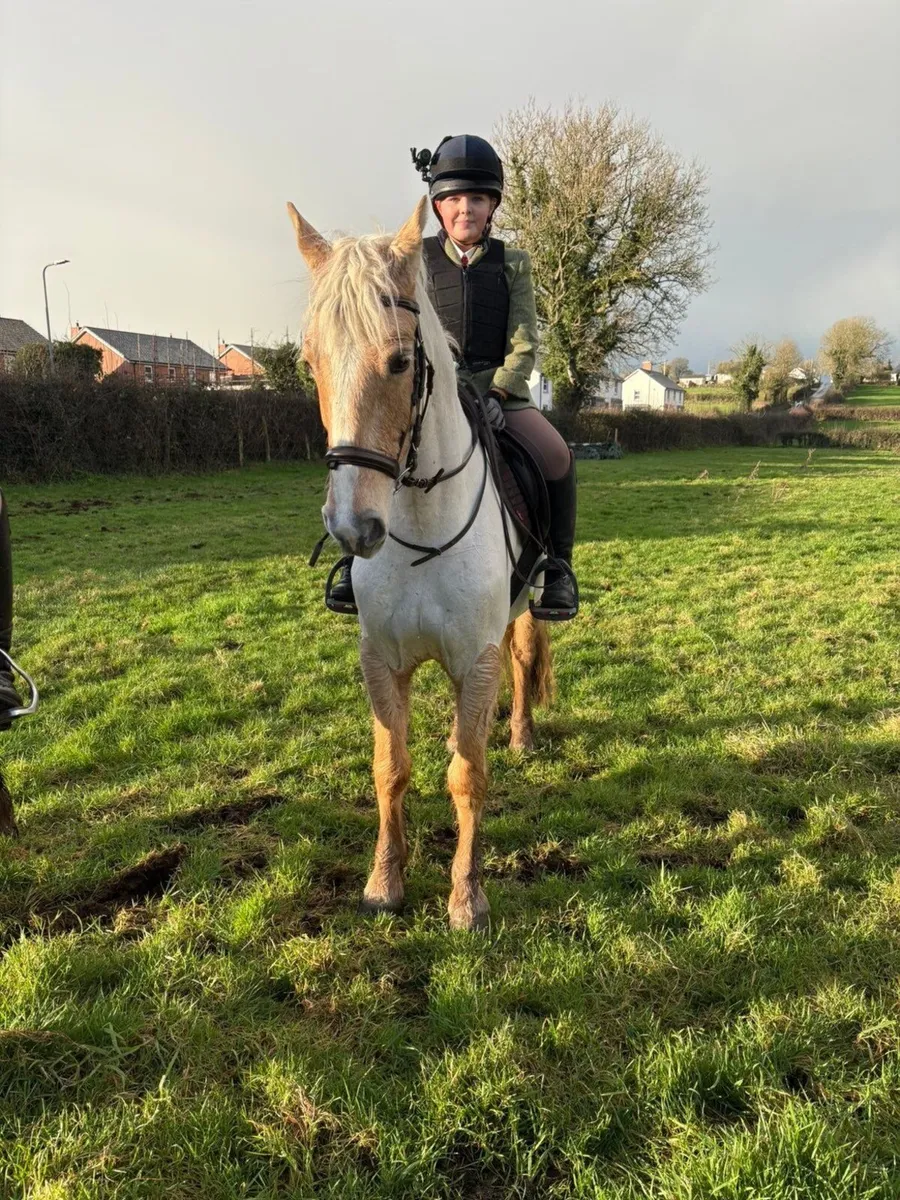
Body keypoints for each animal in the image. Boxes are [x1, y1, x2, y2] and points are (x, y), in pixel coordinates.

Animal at [288, 196, 554, 931]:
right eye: (310, 362)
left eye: (401, 360)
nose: (353, 527)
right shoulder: (382, 658)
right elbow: (391, 768)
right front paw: (385, 881)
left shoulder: (475, 660)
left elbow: (468, 775)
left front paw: (467, 898)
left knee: (526, 658)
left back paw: (521, 735)